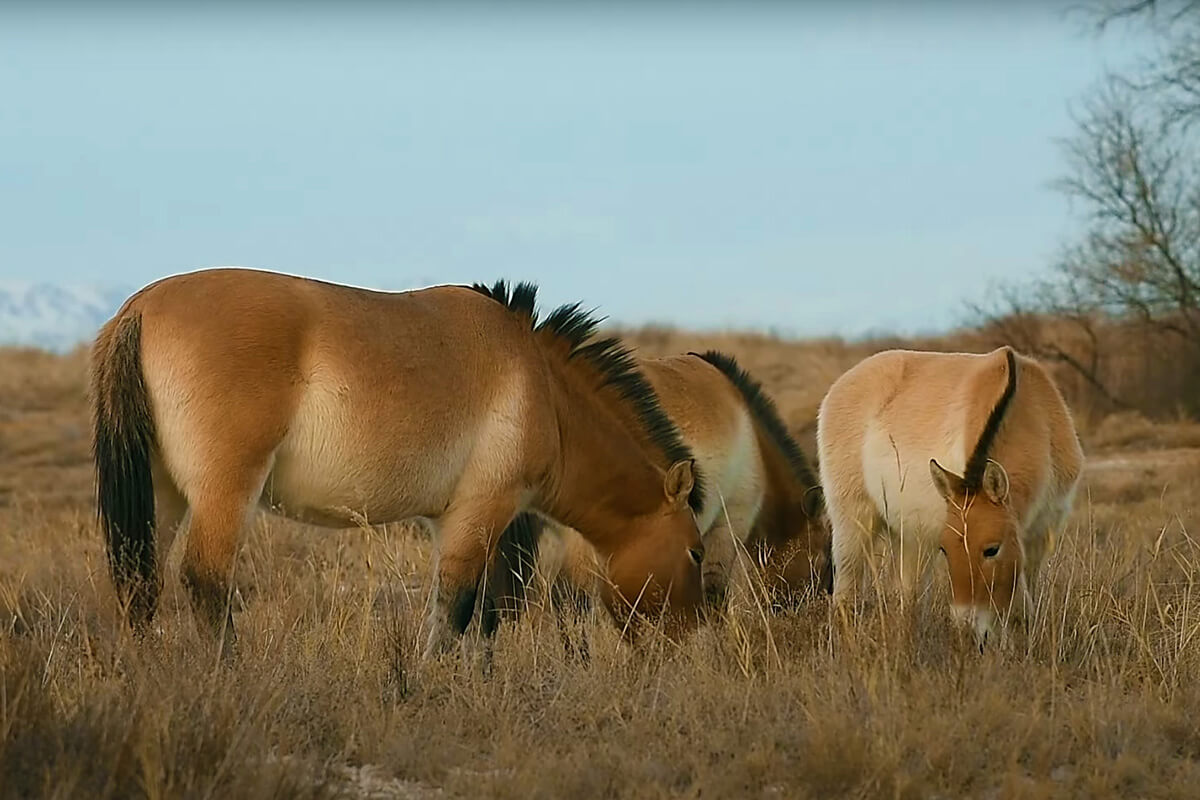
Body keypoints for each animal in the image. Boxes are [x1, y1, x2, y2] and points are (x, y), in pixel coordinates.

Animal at [88, 267, 707, 658]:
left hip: (163, 494)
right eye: (697, 552)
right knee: (205, 580)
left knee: (138, 583)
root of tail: (138, 308)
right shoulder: (480, 513)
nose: (692, 639)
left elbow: (482, 614)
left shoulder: (465, 523)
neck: (545, 389)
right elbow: (456, 609)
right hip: (225, 492)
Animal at [485, 349, 832, 638]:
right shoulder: (728, 526)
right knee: (572, 601)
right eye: (823, 557)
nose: (817, 613)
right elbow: (713, 595)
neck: (755, 443)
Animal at [816, 345, 1083, 645]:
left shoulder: (1040, 534)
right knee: (846, 592)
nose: (967, 627)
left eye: (991, 550)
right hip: (853, 524)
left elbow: (1023, 603)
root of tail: (842, 384)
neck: (1033, 415)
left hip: (910, 538)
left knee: (906, 594)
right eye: (945, 549)